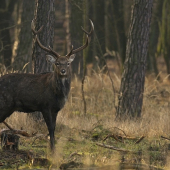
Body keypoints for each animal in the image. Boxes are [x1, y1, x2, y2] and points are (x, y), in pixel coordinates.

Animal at [0, 19, 94, 151]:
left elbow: (54, 127)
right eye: (57, 63)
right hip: (5, 103)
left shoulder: (56, 109)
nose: (63, 71)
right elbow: (50, 128)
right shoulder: (44, 106)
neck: (58, 94)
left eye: (68, 63)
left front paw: (52, 148)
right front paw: (52, 149)